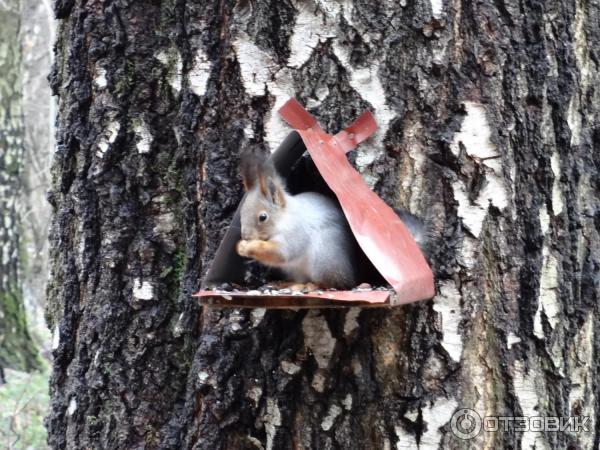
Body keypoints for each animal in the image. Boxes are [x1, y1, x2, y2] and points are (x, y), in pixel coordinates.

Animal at [234, 152, 426, 292]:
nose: (246, 235)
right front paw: (240, 246)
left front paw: (248, 247)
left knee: (334, 284)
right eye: (241, 213)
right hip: (298, 268)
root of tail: (354, 275)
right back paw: (286, 283)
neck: (285, 218)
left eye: (263, 217)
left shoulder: (297, 232)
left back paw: (310, 286)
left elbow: (283, 253)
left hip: (325, 259)